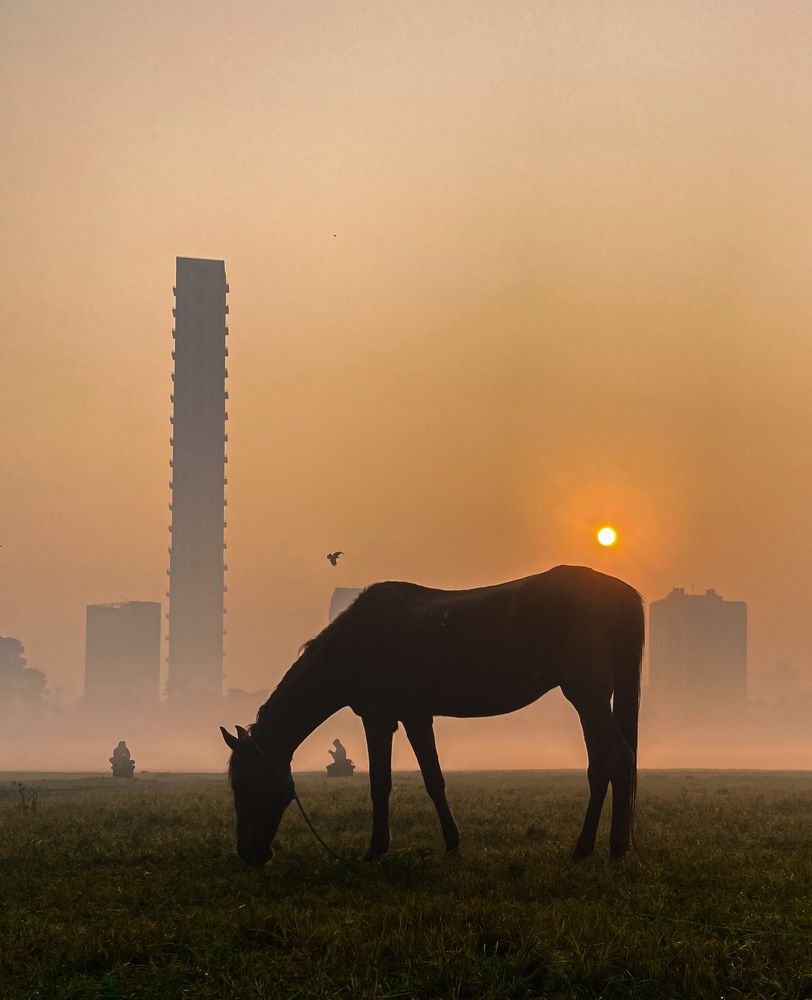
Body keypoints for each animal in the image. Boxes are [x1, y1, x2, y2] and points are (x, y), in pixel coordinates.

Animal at [220, 564, 644, 866]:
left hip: (585, 695)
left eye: (240, 784)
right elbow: (433, 780)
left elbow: (380, 784)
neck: (357, 640)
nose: (249, 853)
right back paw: (595, 847)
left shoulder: (378, 719)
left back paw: (606, 847)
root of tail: (618, 592)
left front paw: (376, 849)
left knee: (616, 758)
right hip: (592, 699)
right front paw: (452, 843)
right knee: (602, 765)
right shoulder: (416, 717)